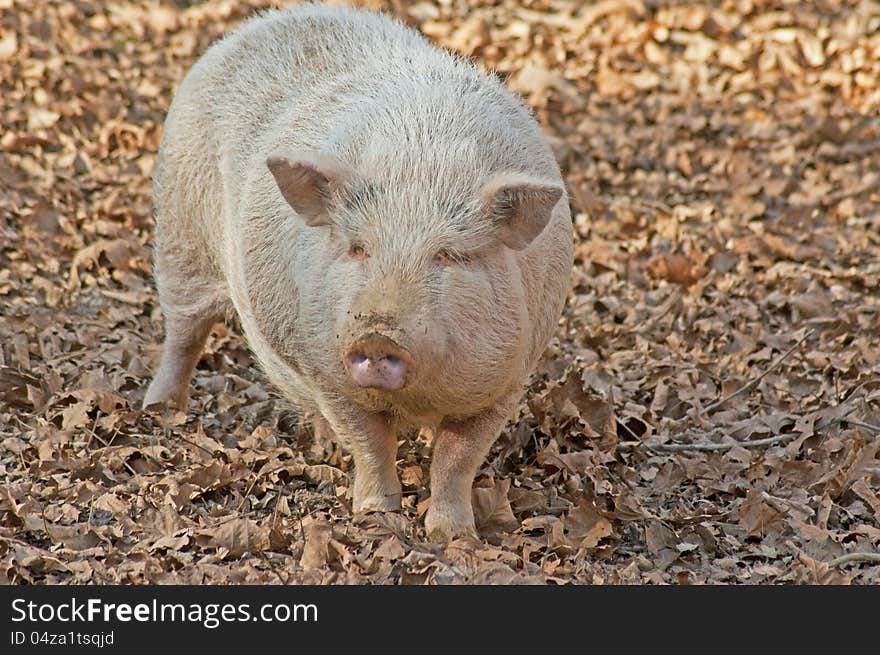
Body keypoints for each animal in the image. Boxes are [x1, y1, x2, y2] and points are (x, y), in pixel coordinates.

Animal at [142, 2, 576, 540]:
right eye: (357, 248)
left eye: (450, 256)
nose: (377, 336)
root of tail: (259, 24)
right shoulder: (327, 367)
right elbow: (371, 444)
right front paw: (376, 517)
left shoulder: (508, 380)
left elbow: (456, 460)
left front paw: (454, 536)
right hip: (179, 233)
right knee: (183, 332)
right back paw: (161, 410)